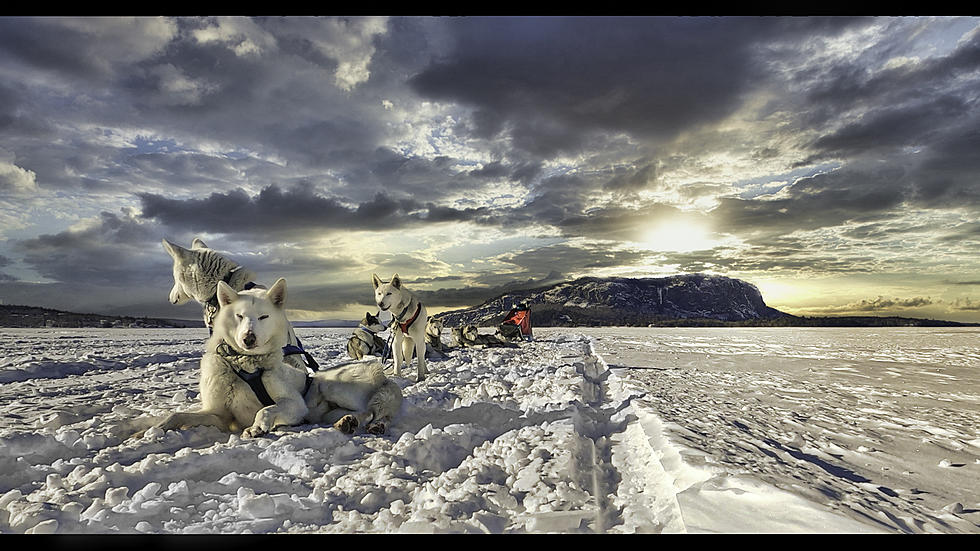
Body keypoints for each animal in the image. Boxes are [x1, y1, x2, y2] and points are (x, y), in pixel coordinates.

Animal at [152, 278, 402, 438]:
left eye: (264, 317)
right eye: (239, 316)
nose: (249, 338)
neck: (246, 367)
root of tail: (383, 376)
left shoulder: (295, 404)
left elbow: (266, 409)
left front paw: (258, 427)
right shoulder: (219, 415)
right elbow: (177, 415)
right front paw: (154, 430)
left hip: (333, 387)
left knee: (373, 412)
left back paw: (370, 425)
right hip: (329, 410)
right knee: (363, 414)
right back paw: (348, 423)